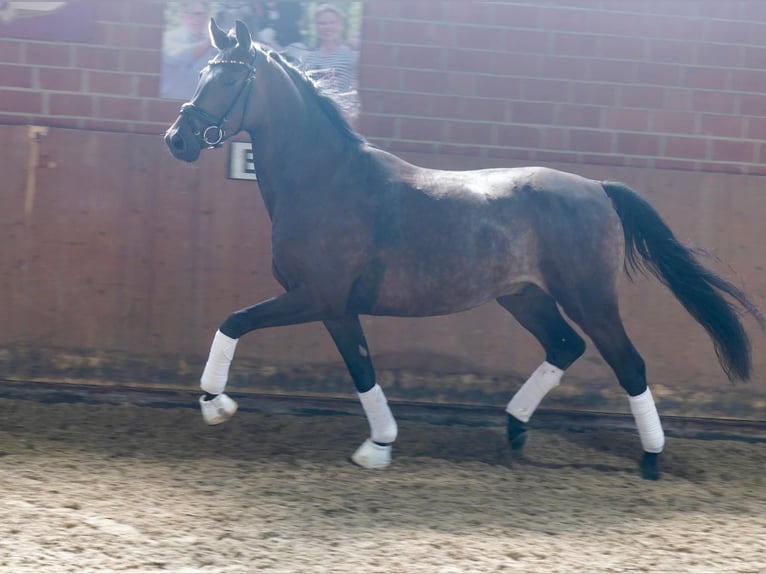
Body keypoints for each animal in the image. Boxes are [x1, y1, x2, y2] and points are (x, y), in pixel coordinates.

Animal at [165, 20, 764, 482]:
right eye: (202, 72)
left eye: (230, 77)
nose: (178, 140)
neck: (326, 180)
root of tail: (598, 188)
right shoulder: (335, 307)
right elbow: (359, 368)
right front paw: (379, 445)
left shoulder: (319, 298)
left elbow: (240, 323)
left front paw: (216, 405)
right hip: (524, 296)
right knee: (565, 345)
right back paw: (515, 428)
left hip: (590, 299)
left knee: (629, 363)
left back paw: (650, 459)